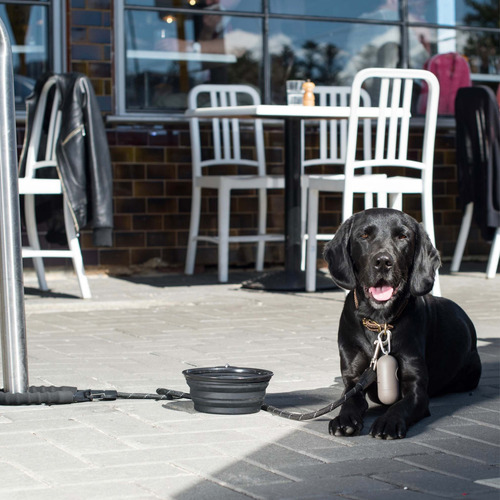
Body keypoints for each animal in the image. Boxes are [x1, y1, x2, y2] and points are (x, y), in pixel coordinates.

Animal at [324, 209, 480, 440]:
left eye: (403, 236)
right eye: (364, 235)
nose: (383, 261)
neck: (380, 322)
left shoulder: (415, 386)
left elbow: (401, 405)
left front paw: (388, 422)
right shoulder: (353, 381)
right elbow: (349, 401)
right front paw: (344, 419)